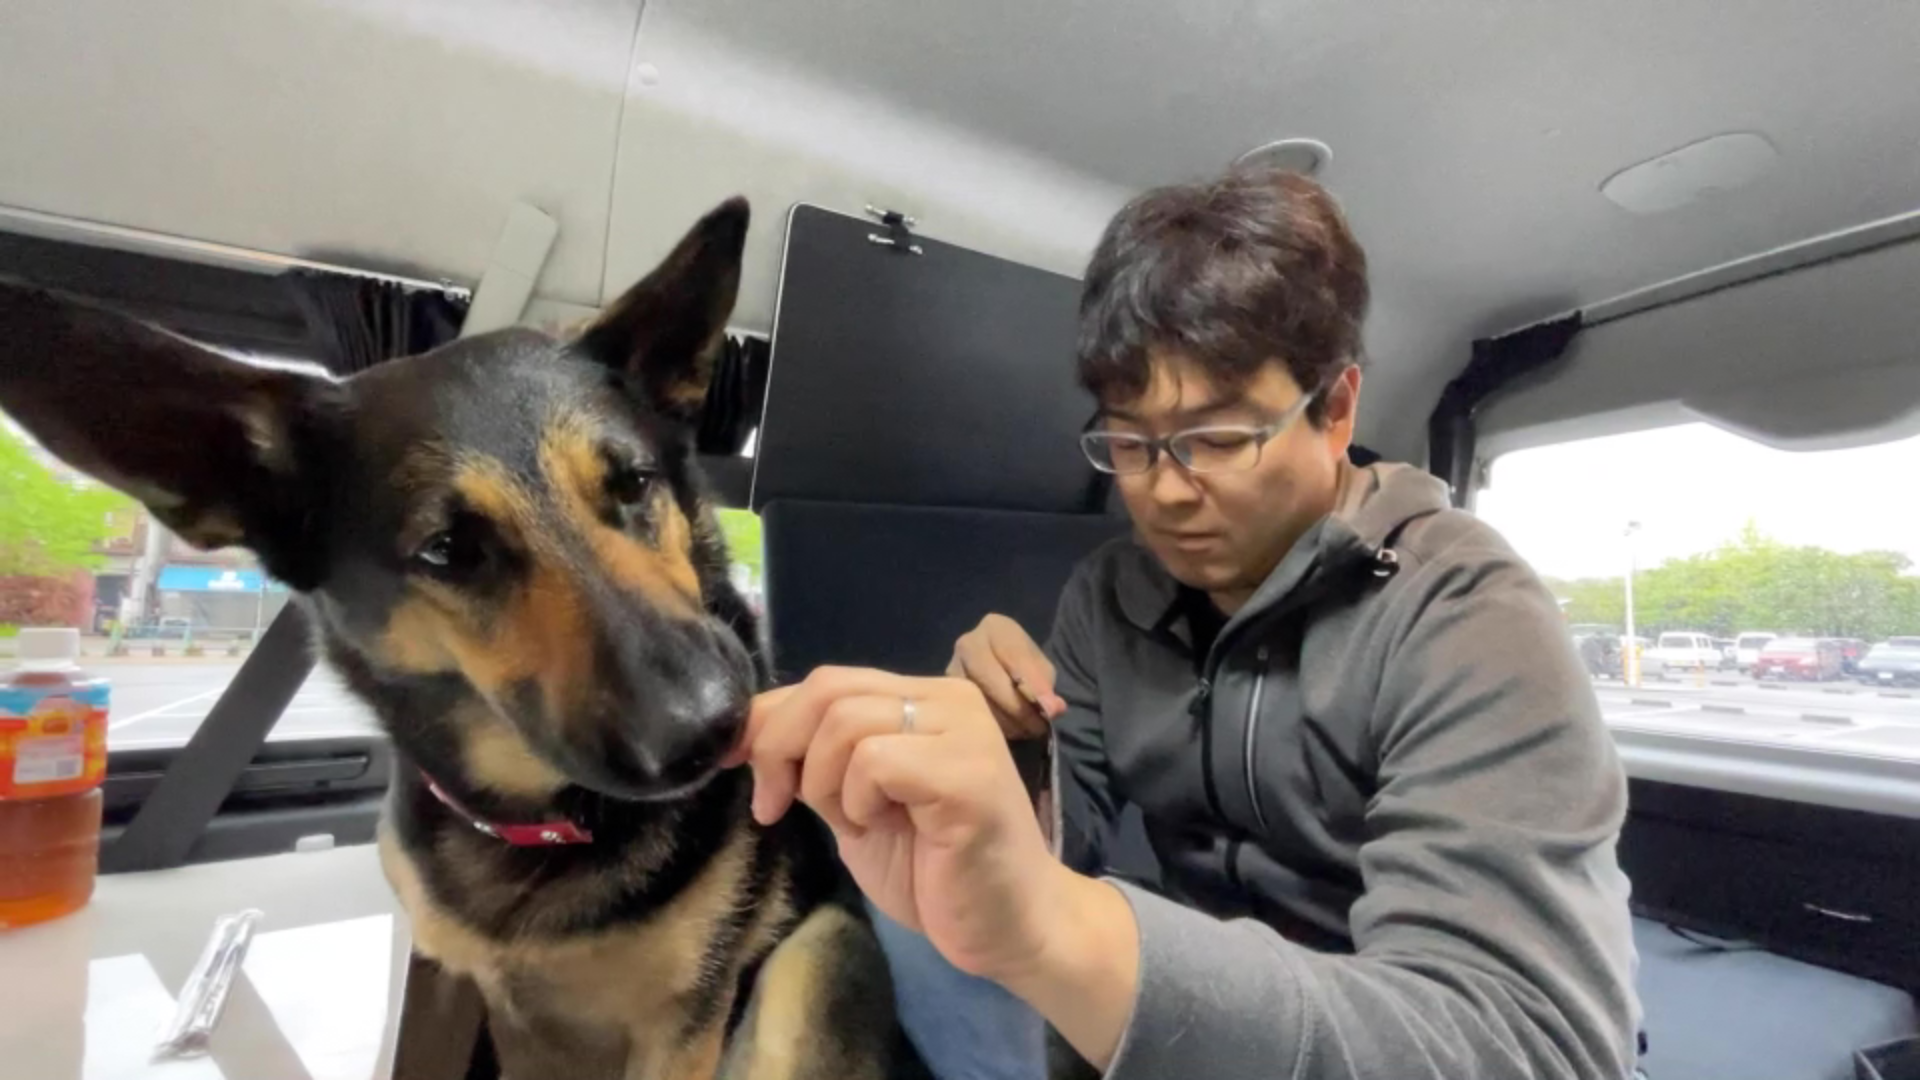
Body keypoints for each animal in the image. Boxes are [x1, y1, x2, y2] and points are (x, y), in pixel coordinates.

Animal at [0, 199, 924, 1080]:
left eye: (633, 483)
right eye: (447, 549)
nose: (711, 728)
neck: (537, 826)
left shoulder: (683, 1024)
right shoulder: (440, 977)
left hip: (818, 955)